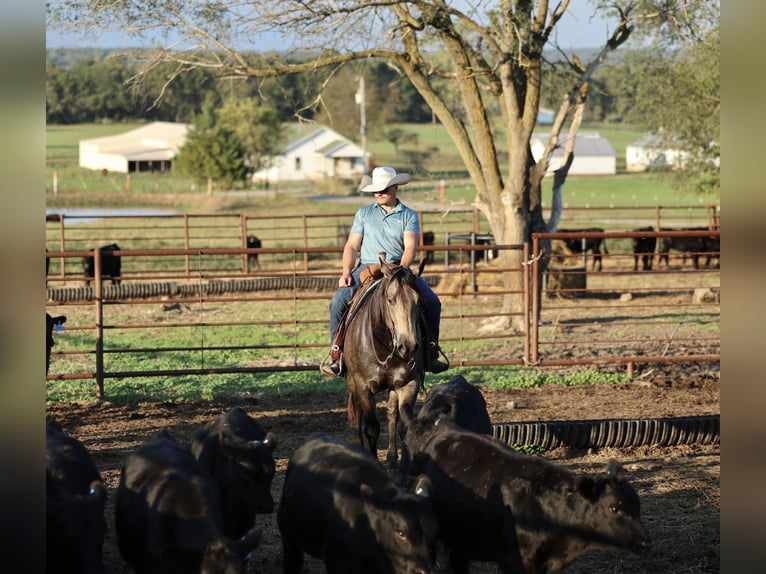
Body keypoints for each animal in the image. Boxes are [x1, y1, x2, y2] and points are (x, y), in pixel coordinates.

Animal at [342, 254, 428, 469]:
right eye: (390, 300)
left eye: (420, 302)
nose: (408, 346)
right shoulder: (363, 387)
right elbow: (371, 428)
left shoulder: (409, 383)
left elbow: (404, 423)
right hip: (353, 384)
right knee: (357, 415)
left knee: (392, 413)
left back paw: (391, 456)